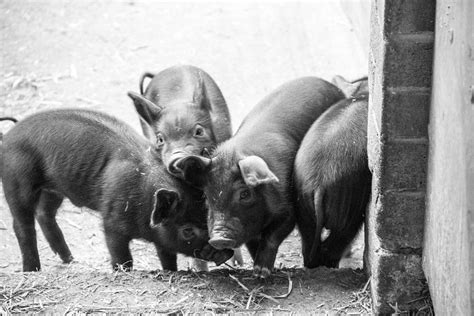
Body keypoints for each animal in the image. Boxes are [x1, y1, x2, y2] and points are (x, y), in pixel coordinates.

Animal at [1, 109, 231, 272]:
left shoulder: (162, 238)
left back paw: (70, 260)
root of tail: (7, 136)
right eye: (187, 230)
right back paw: (32, 270)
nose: (224, 252)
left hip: (54, 189)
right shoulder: (112, 222)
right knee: (22, 225)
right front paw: (121, 271)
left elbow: (167, 258)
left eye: (208, 216)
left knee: (44, 214)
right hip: (16, 179)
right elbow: (122, 257)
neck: (144, 196)